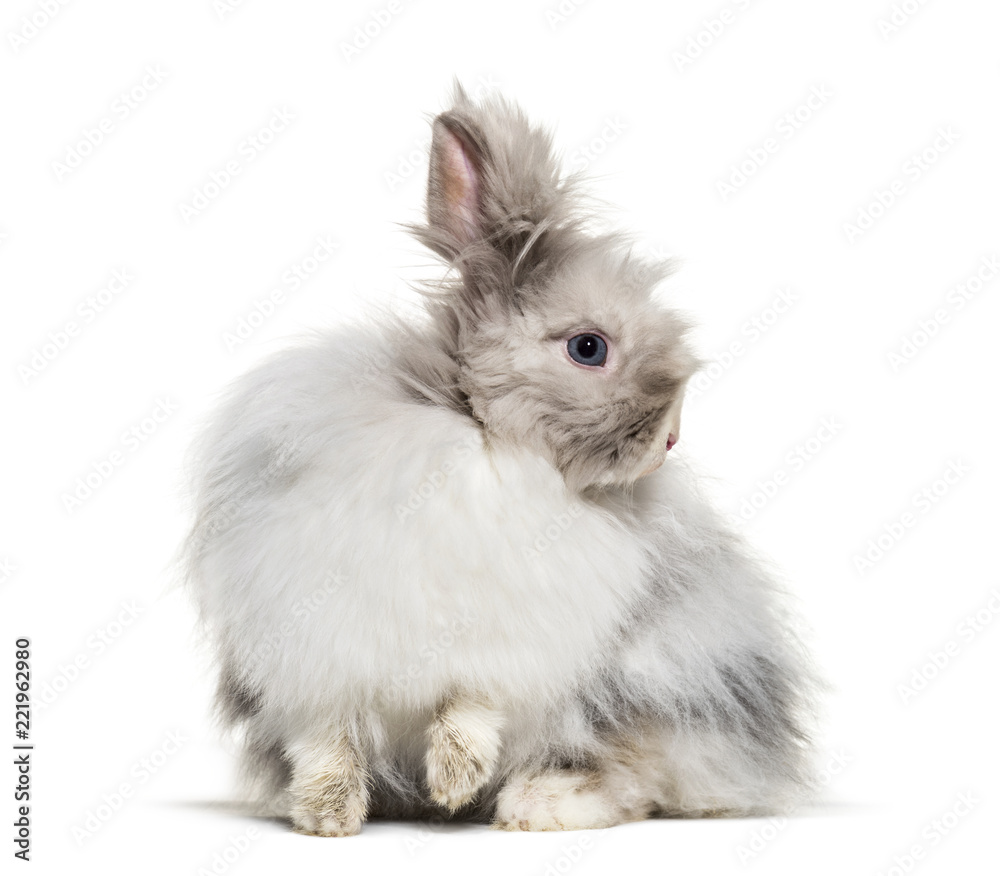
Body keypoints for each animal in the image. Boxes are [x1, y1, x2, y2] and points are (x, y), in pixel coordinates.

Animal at [182, 84, 818, 835]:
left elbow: (471, 705)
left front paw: (454, 780)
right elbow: (328, 737)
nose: (669, 439)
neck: (484, 438)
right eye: (588, 348)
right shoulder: (312, 648)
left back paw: (536, 803)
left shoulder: (507, 645)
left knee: (636, 774)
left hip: (657, 682)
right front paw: (327, 814)